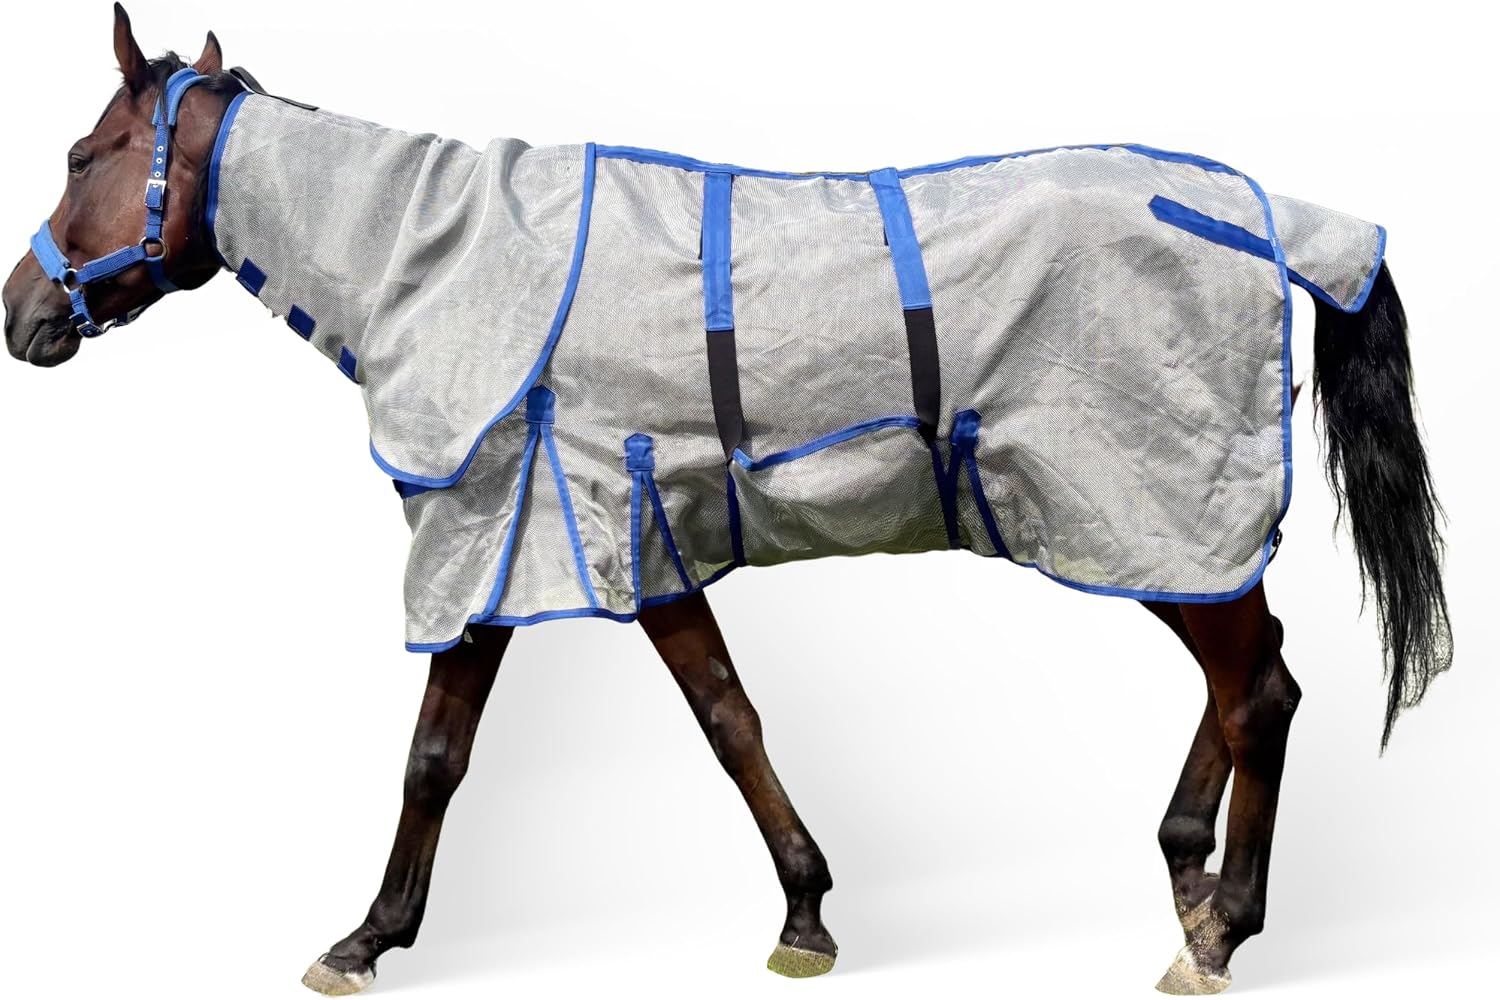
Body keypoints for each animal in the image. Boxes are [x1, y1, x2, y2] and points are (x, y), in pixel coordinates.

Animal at [1, 6, 1452, 996]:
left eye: (81, 153)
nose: (21, 318)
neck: (450, 260)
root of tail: (1274, 218)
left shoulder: (509, 529)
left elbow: (439, 753)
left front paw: (364, 937)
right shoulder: (614, 538)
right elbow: (720, 717)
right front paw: (805, 912)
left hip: (1145, 500)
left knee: (1260, 689)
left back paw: (1220, 929)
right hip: (1141, 527)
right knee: (1248, 672)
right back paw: (1186, 871)